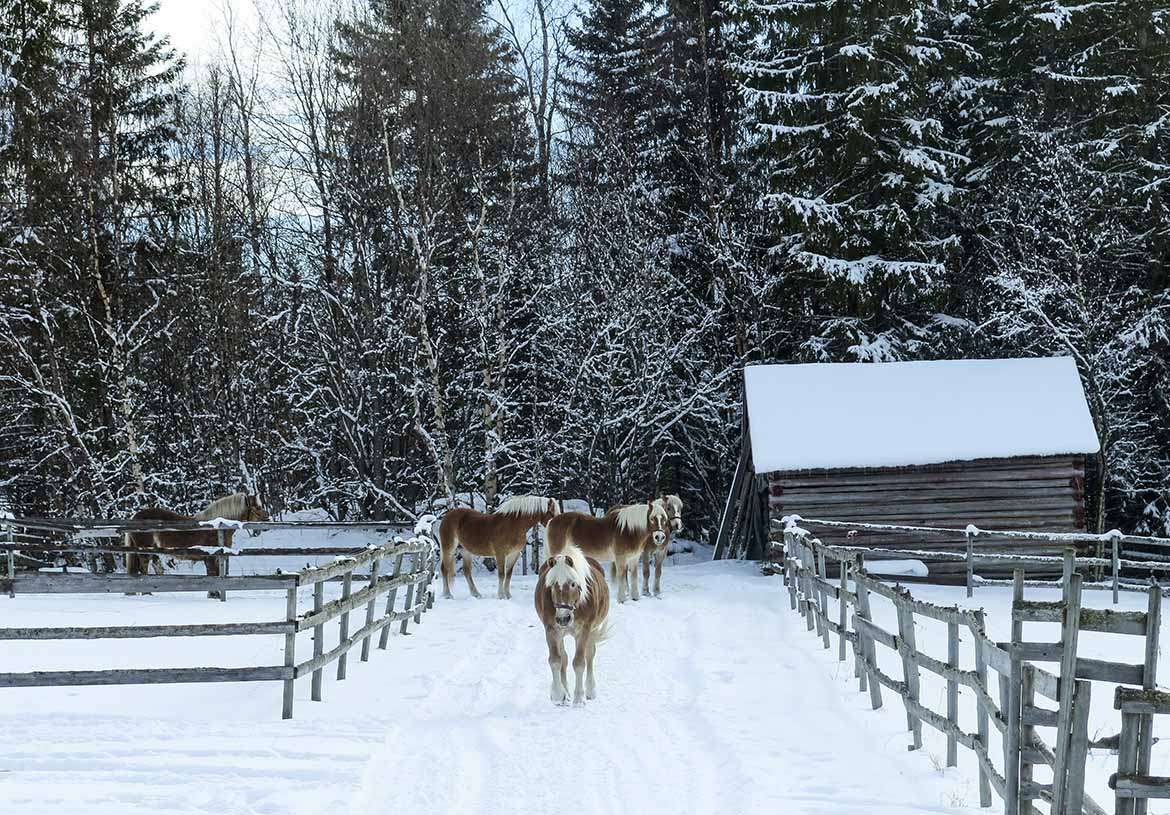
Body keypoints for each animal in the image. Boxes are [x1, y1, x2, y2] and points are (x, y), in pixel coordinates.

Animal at [125, 488, 269, 591]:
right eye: (257, 508)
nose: (267, 519)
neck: (216, 526)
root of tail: (134, 517)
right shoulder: (211, 558)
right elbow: (213, 576)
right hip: (144, 552)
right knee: (143, 570)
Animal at [535, 540, 613, 706]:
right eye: (552, 584)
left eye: (572, 584)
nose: (563, 619)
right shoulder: (551, 629)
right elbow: (556, 660)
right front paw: (558, 695)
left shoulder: (584, 630)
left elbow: (579, 662)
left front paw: (579, 698)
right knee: (563, 658)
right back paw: (565, 692)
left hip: (591, 631)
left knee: (590, 655)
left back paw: (590, 690)